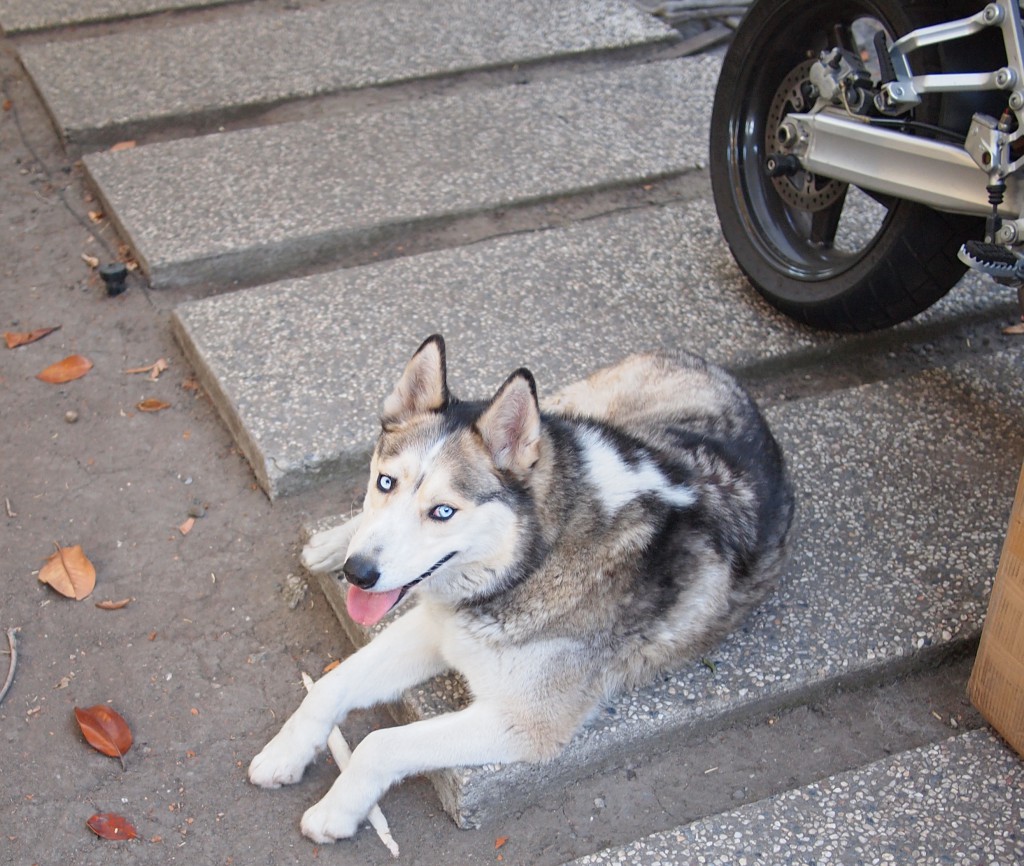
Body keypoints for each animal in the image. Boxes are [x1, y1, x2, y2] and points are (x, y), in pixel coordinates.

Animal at [247, 335, 790, 843]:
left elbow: (382, 741)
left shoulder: (525, 721)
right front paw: (284, 754)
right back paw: (329, 544)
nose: (359, 572)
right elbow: (330, 685)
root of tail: (704, 362)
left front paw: (336, 811)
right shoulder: (436, 626)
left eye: (443, 511)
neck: (536, 557)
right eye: (385, 483)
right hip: (571, 411)